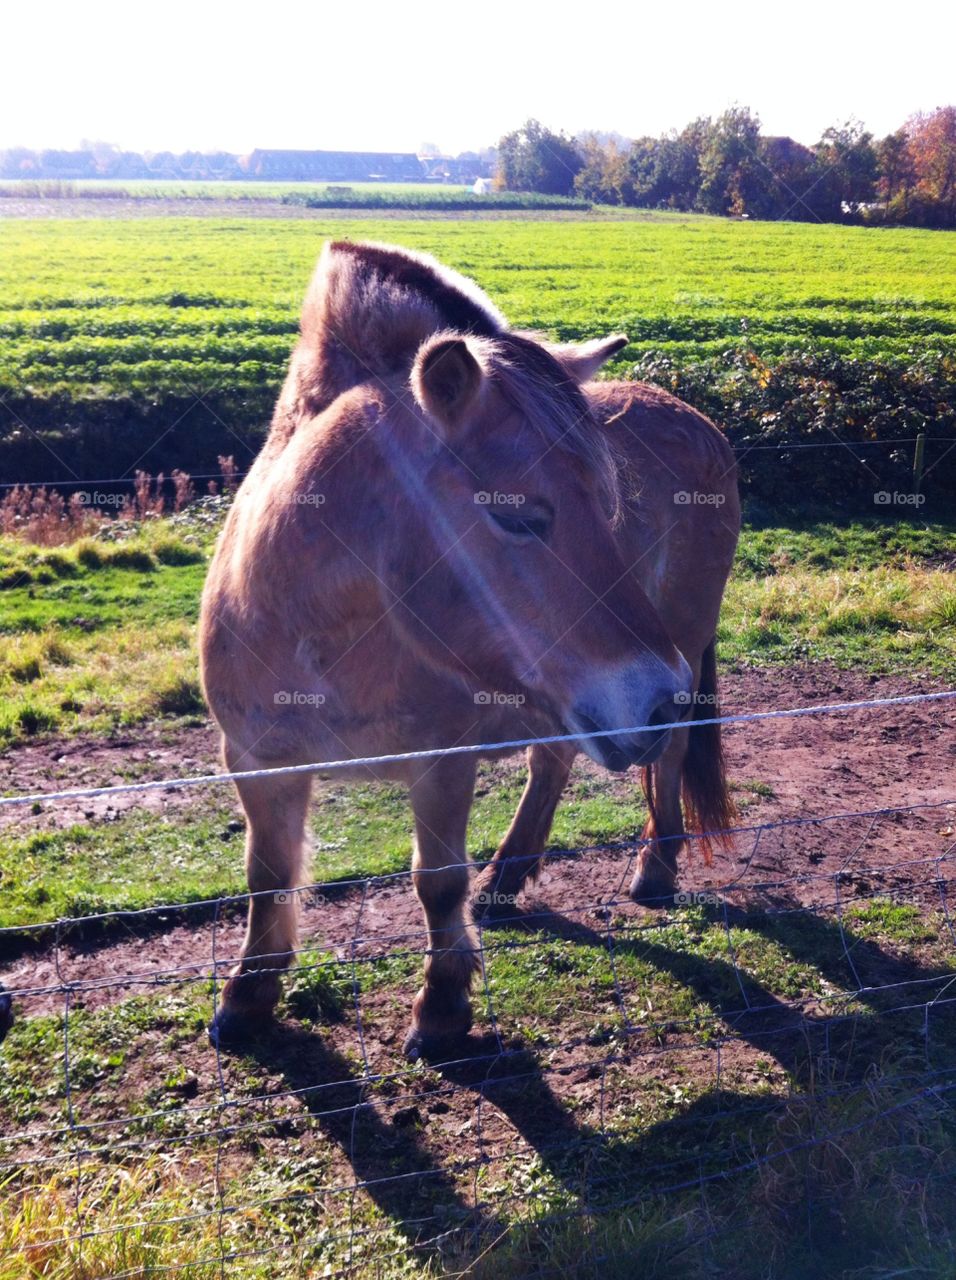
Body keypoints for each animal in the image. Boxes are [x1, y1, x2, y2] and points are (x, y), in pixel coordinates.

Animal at [199, 240, 735, 1060]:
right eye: (515, 516)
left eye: (607, 506)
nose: (655, 694)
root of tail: (700, 422)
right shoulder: (257, 760)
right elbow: (267, 874)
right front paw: (248, 995)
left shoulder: (443, 761)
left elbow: (437, 881)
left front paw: (443, 1007)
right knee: (554, 759)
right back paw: (510, 878)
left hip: (676, 644)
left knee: (667, 757)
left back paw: (653, 868)